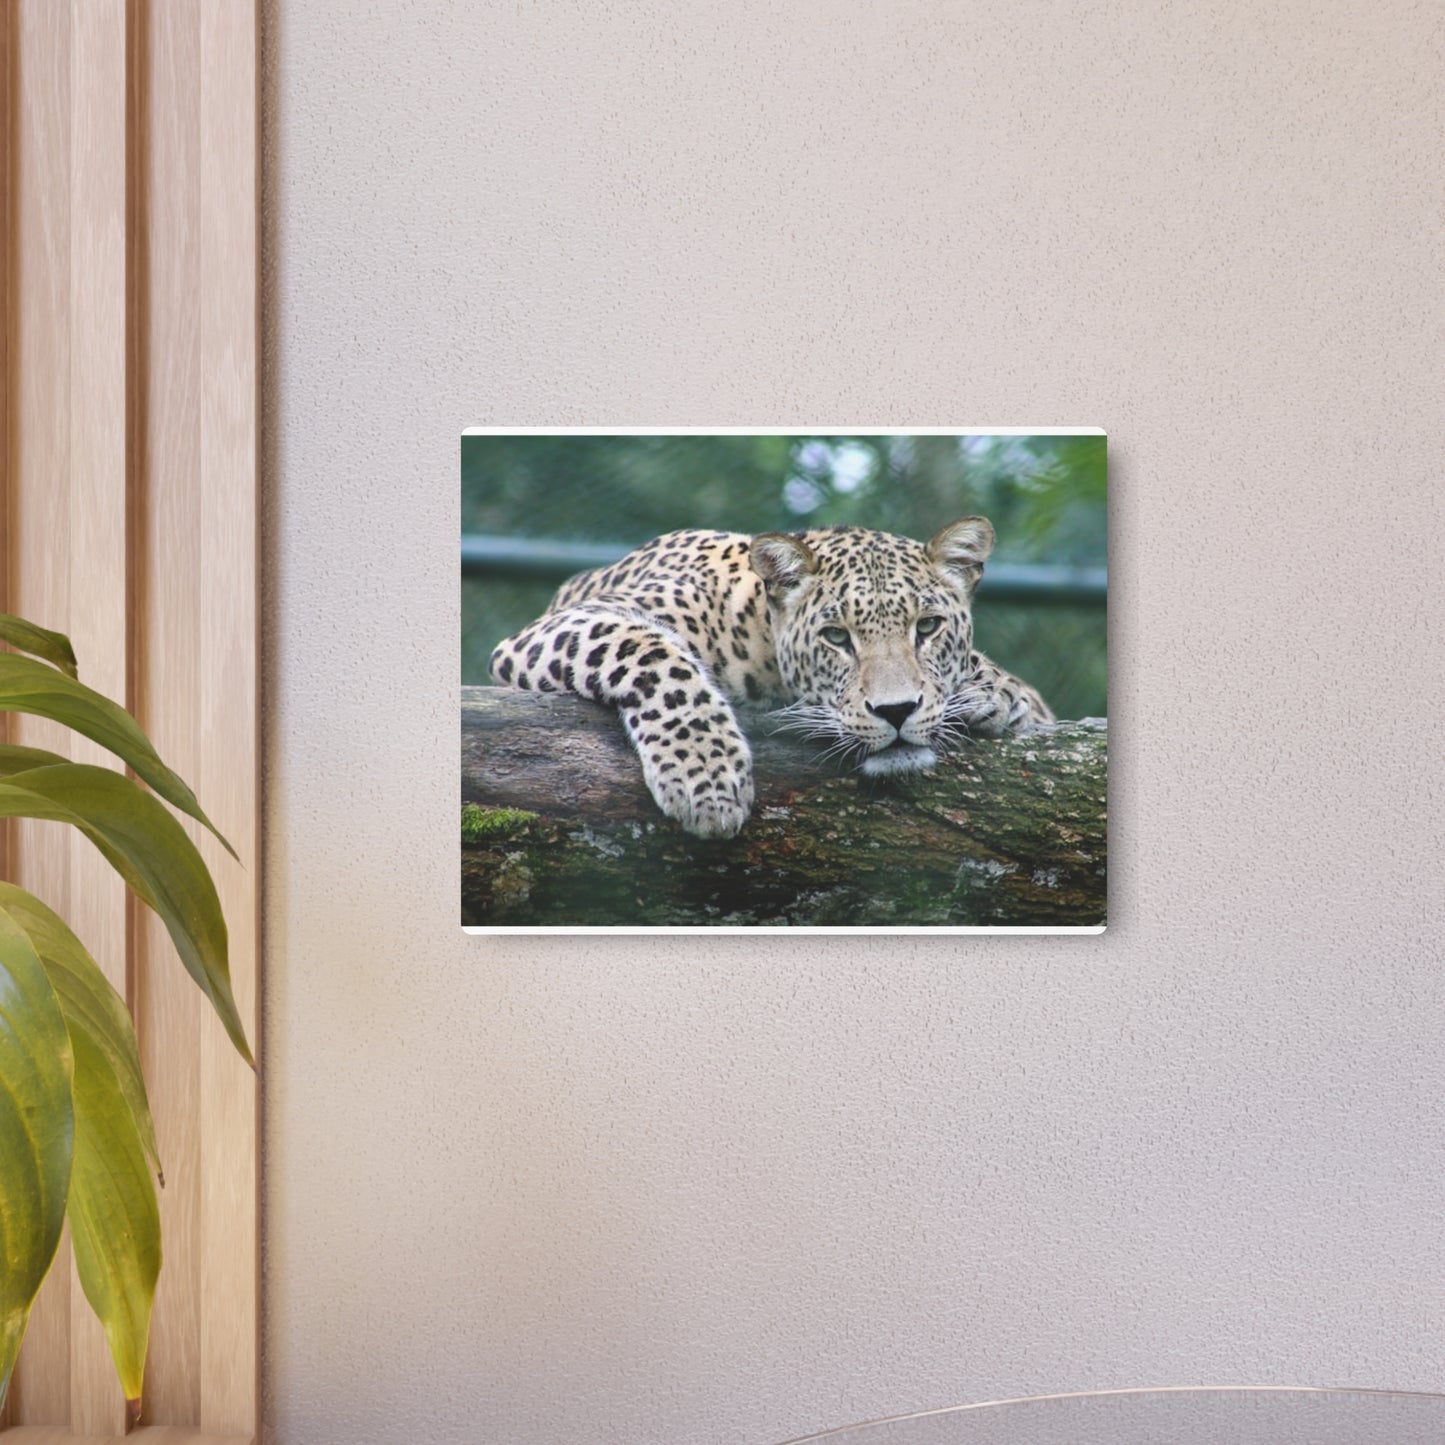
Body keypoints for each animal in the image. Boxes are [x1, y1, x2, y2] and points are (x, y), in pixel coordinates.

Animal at [488, 518, 1053, 839]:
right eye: (836, 637)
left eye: (928, 627)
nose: (896, 712)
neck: (757, 632)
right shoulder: (560, 627)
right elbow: (653, 654)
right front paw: (707, 778)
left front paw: (999, 693)